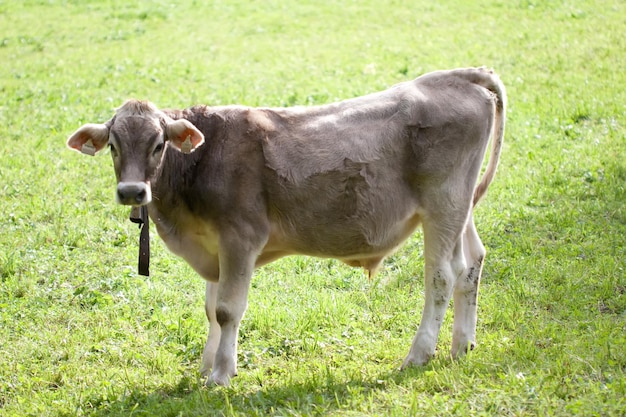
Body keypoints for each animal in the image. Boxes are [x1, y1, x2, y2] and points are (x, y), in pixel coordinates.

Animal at [67, 66, 502, 386]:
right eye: (113, 146)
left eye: (158, 145)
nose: (132, 191)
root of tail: (460, 75)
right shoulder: (214, 246)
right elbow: (209, 308)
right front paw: (207, 365)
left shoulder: (239, 238)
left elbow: (227, 309)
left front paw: (220, 374)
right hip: (460, 207)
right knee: (471, 264)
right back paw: (462, 345)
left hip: (443, 203)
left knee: (442, 276)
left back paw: (419, 354)